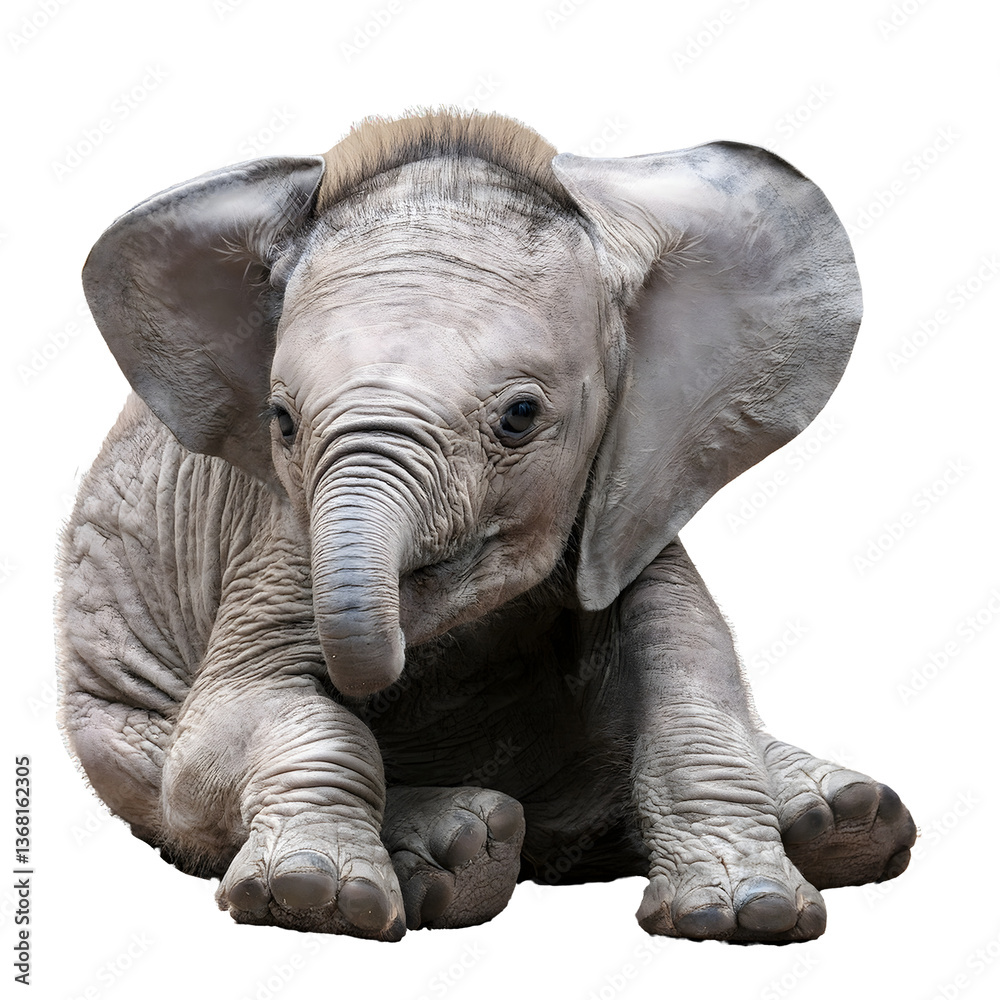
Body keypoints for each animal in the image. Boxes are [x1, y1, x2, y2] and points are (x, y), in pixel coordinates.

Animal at [57, 108, 915, 943]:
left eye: (520, 416)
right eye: (282, 421)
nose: (384, 659)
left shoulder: (635, 490)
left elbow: (688, 660)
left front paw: (748, 916)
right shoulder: (278, 531)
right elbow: (231, 726)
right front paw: (314, 900)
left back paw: (848, 821)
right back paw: (465, 850)